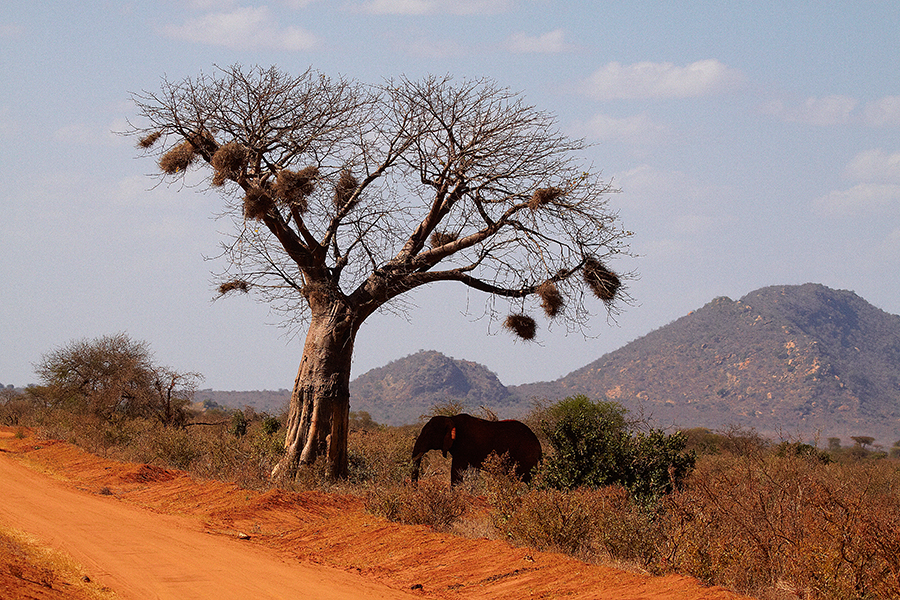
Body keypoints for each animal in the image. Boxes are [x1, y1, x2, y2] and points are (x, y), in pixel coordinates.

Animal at [414, 414, 544, 486]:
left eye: (429, 434)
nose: (416, 489)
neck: (451, 419)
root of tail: (538, 444)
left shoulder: (464, 447)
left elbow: (456, 472)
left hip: (526, 456)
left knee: (529, 479)